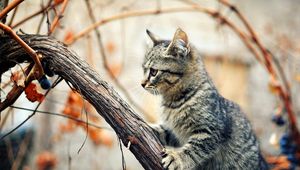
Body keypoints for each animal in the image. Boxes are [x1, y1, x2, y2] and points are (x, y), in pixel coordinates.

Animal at [141, 28, 270, 169]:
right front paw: (150, 127)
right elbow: (165, 131)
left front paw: (177, 158)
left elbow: (193, 149)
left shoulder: (210, 131)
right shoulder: (175, 132)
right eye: (143, 70)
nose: (141, 84)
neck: (174, 101)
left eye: (153, 72)